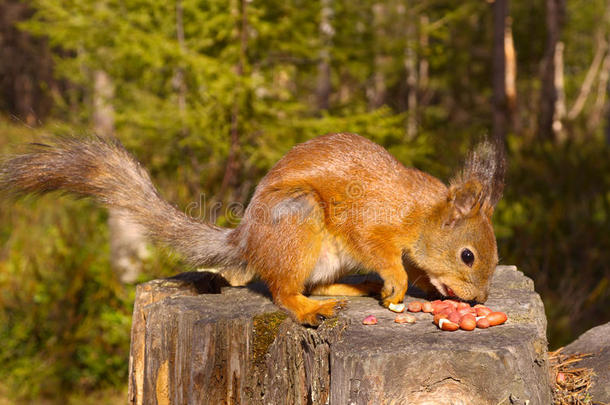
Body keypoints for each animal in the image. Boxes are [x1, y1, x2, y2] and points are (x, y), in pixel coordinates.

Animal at [0, 133, 504, 326]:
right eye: (468, 255)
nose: (476, 301)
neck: (419, 215)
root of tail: (245, 239)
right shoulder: (370, 222)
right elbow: (382, 254)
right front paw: (397, 282)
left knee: (314, 283)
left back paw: (353, 288)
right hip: (297, 219)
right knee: (283, 290)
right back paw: (309, 309)